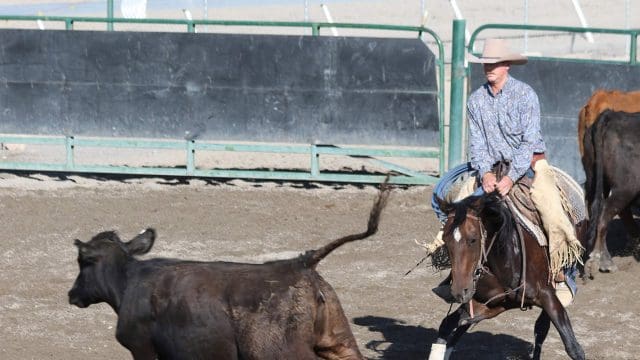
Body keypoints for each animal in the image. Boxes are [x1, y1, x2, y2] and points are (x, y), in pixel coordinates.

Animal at [69, 184, 390, 358]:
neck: (129, 282)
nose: (72, 294)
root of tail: (299, 262)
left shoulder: (142, 348)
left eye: (82, 261)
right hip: (340, 341)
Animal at [432, 193, 588, 360]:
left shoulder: (548, 295)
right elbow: (448, 326)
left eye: (473, 239)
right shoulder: (484, 302)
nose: (459, 291)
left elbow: (573, 347)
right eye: (445, 240)